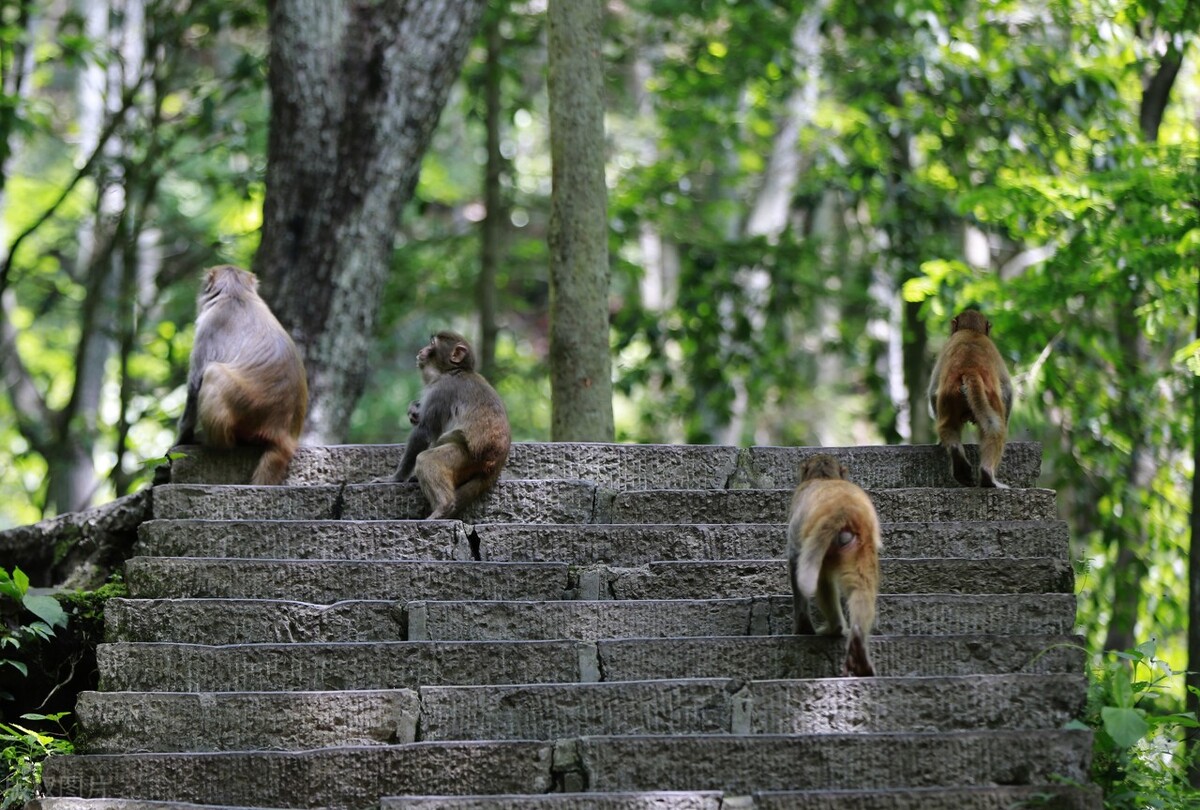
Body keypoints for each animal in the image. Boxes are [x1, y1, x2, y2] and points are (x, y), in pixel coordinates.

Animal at [178, 266, 312, 484]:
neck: (237, 293)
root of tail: (283, 433)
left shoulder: (210, 325)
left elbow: (195, 384)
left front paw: (182, 438)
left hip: (247, 408)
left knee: (213, 372)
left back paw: (216, 444)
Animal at [379, 333, 511, 523]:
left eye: (432, 344)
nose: (421, 350)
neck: (453, 371)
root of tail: (496, 462)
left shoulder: (442, 389)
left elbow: (423, 432)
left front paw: (395, 478)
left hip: (466, 457)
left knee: (427, 459)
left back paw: (443, 508)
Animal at [787, 456, 883, 676]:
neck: (824, 477)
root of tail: (843, 510)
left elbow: (794, 559)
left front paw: (802, 627)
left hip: (828, 548)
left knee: (821, 581)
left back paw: (835, 628)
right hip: (859, 546)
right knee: (861, 587)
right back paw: (858, 646)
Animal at [926, 309, 1012, 487]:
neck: (972, 332)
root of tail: (969, 370)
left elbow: (933, 391)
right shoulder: (994, 350)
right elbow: (1007, 390)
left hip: (949, 398)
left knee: (948, 427)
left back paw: (958, 461)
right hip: (990, 398)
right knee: (994, 428)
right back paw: (987, 476)